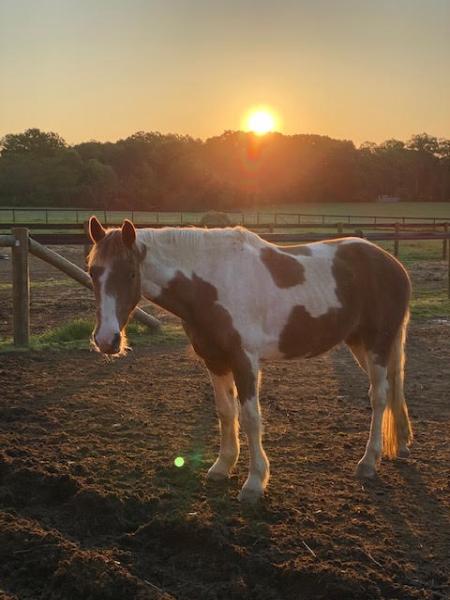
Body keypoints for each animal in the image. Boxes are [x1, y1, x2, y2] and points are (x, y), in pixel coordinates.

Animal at [86, 218, 414, 504]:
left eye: (131, 272)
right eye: (92, 272)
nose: (106, 340)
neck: (212, 282)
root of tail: (391, 263)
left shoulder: (245, 361)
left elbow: (250, 418)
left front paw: (255, 483)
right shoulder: (215, 360)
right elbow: (226, 412)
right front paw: (222, 466)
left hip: (377, 344)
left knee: (379, 396)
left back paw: (368, 462)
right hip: (359, 343)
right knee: (390, 389)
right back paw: (399, 443)